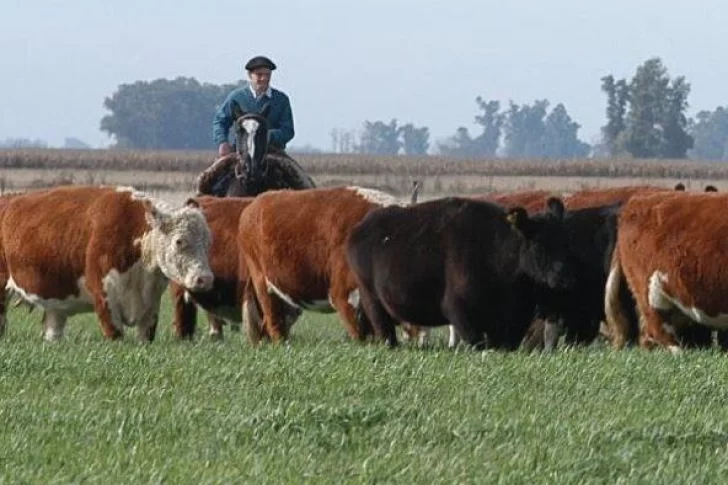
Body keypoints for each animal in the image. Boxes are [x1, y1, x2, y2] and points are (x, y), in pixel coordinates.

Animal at [0, 184, 213, 340]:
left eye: (208, 242)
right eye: (179, 241)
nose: (205, 279)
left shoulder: (151, 305)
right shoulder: (104, 296)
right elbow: (115, 335)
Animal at [346, 195, 580, 350]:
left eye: (566, 243)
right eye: (538, 245)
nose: (566, 278)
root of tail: (360, 226)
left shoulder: (514, 323)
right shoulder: (459, 310)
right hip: (372, 299)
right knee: (385, 332)